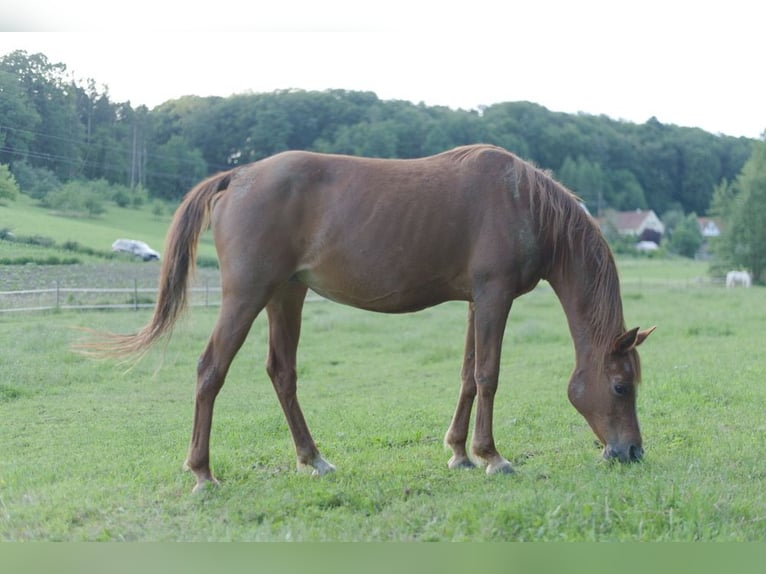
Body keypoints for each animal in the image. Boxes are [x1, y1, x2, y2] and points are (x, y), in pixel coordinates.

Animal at [90, 144, 655, 492]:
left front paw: (458, 452)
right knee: (211, 371)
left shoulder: (476, 301)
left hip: (285, 295)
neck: (524, 205)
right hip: (246, 296)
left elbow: (467, 377)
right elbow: (488, 377)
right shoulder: (494, 297)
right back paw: (203, 473)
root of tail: (238, 176)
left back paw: (312, 458)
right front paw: (491, 456)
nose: (631, 452)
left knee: (282, 373)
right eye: (621, 386)